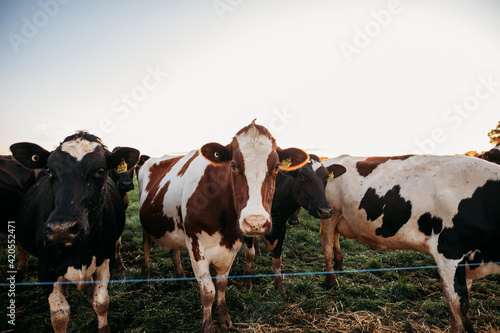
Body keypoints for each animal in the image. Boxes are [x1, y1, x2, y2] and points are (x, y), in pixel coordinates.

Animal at [11, 131, 139, 330]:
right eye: (49, 170)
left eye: (101, 170)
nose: (61, 229)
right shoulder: (45, 269)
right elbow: (59, 316)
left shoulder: (106, 258)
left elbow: (101, 302)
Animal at [138, 120, 308, 330]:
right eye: (233, 164)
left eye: (276, 166)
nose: (256, 222)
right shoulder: (196, 247)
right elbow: (208, 292)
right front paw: (208, 326)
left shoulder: (231, 246)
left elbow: (221, 284)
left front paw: (224, 317)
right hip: (146, 226)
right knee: (146, 247)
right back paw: (145, 278)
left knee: (174, 251)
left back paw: (180, 276)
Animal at [243, 155, 336, 296]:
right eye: (302, 176)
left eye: (326, 178)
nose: (325, 211)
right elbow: (249, 254)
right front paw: (247, 283)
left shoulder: (282, 228)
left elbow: (277, 258)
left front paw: (280, 288)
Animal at [320, 154, 500, 332]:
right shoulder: (449, 251)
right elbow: (458, 306)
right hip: (329, 214)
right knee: (326, 243)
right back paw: (332, 281)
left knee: (335, 238)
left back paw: (339, 268)